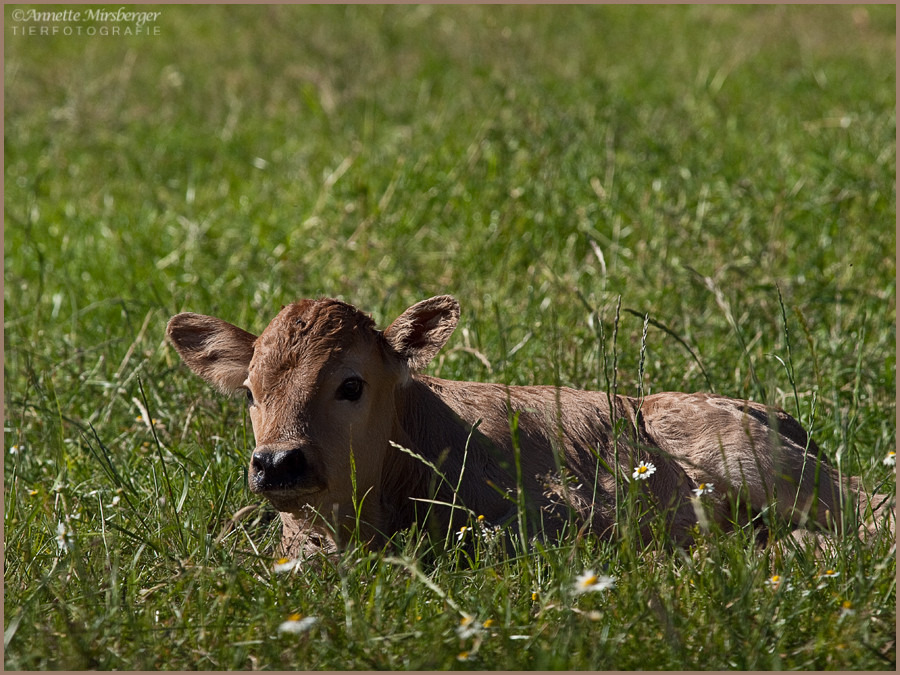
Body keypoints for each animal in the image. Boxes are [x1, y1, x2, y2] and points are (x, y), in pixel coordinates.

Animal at [167, 294, 884, 556]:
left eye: (351, 383)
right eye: (251, 391)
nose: (276, 462)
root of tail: (776, 413)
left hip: (759, 460)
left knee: (874, 510)